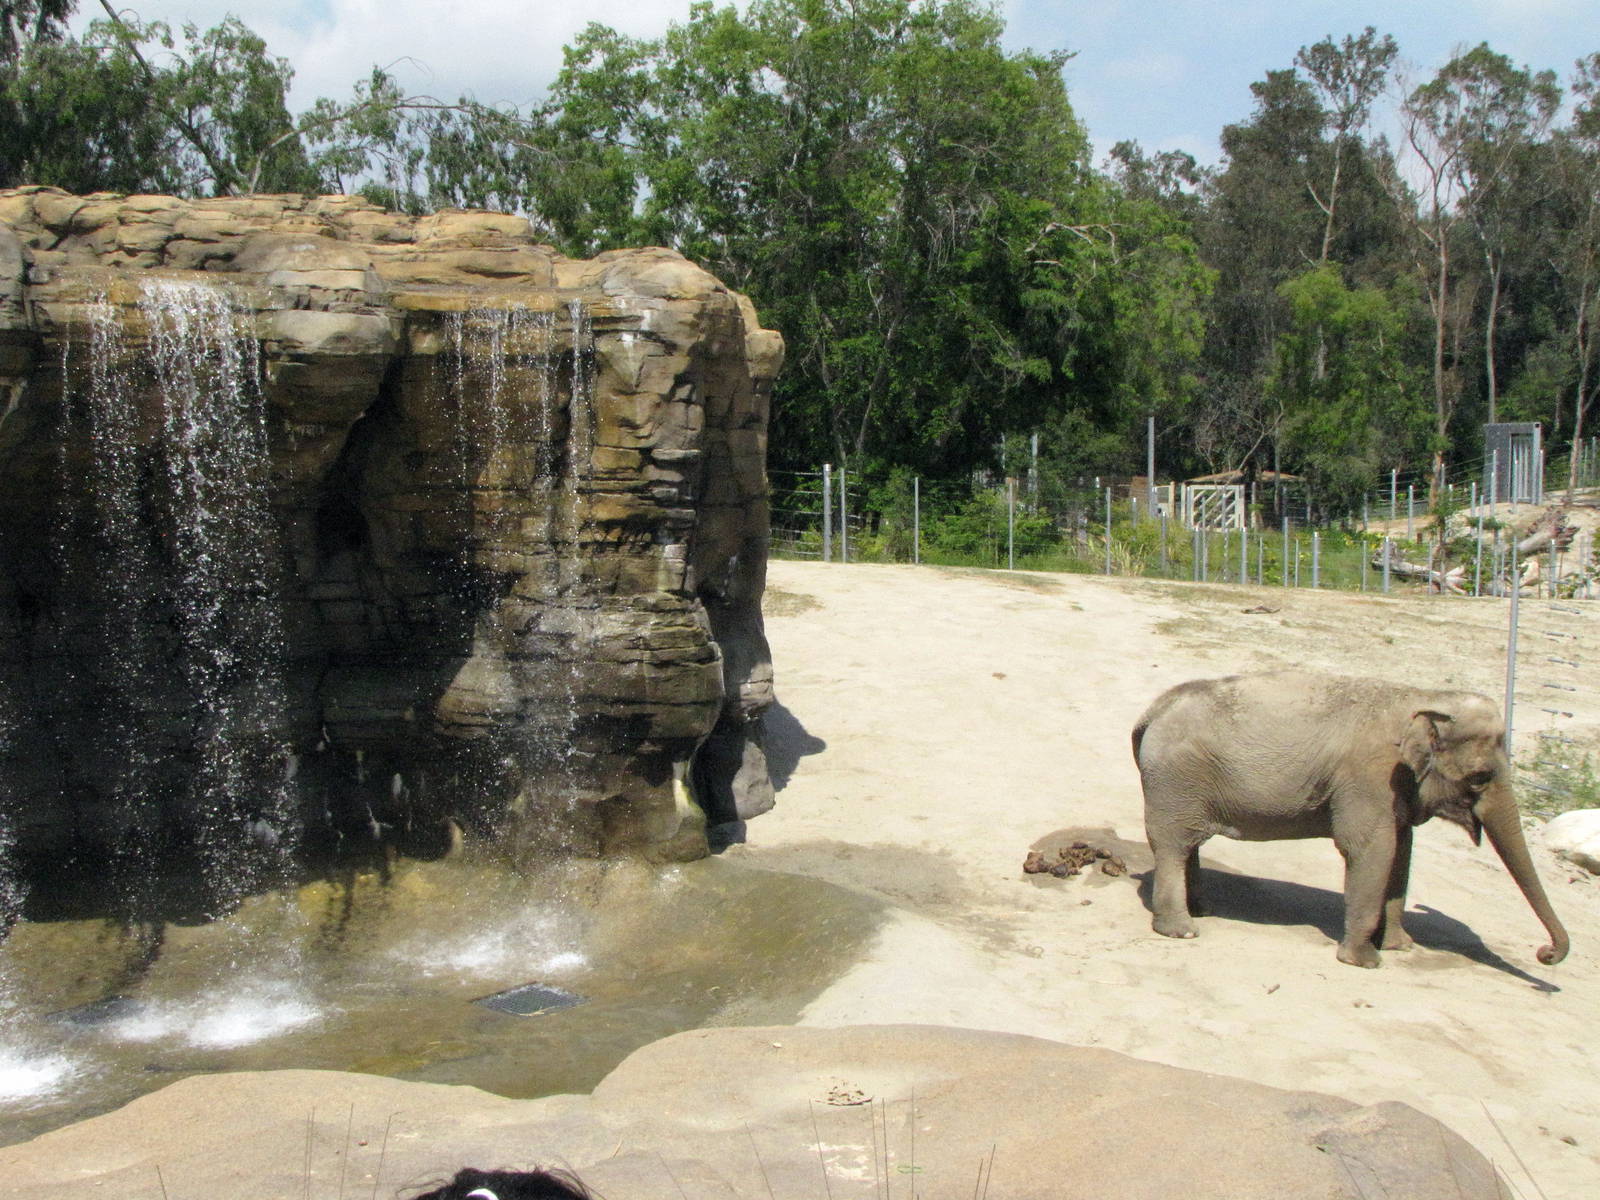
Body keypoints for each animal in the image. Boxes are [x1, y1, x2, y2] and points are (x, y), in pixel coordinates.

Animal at [1132, 671, 1569, 969]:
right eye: (1479, 777)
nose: (1545, 953)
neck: (1423, 699)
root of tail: (1152, 711)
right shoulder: (1369, 778)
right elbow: (1372, 849)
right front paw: (1364, 961)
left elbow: (1402, 853)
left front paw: (1400, 946)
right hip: (1174, 780)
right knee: (1172, 845)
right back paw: (1182, 929)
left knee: (1189, 845)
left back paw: (1200, 909)